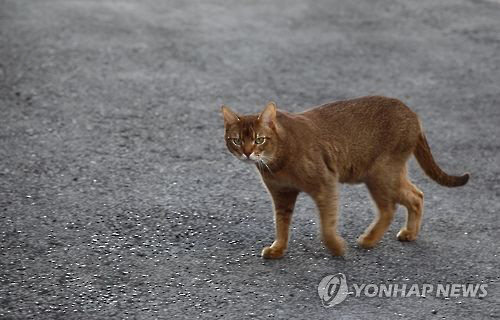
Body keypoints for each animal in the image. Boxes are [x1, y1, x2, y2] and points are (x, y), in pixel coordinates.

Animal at [221, 96, 470, 258]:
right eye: (236, 140)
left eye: (259, 139)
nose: (247, 152)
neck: (277, 162)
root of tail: (413, 114)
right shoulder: (282, 194)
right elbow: (281, 224)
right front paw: (278, 249)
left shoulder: (326, 183)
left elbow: (327, 225)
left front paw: (336, 248)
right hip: (389, 173)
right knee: (416, 195)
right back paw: (409, 233)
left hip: (380, 174)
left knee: (391, 207)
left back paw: (369, 240)